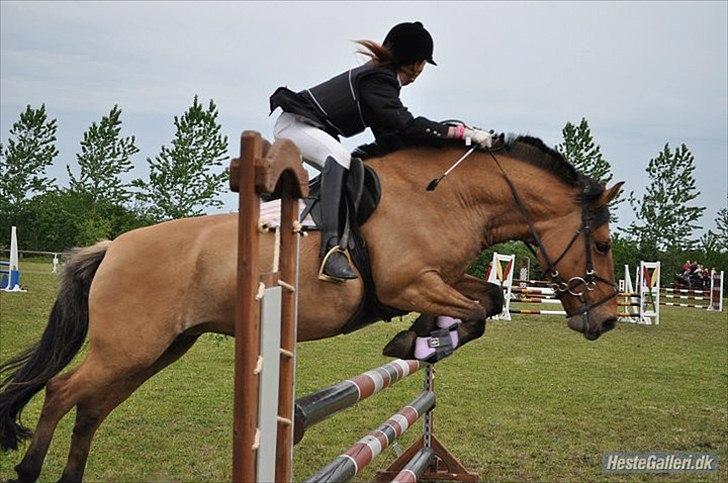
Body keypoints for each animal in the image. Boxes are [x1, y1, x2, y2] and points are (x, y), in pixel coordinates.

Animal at [1, 134, 624, 482]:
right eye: (601, 244)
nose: (607, 319)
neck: (450, 198)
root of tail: (112, 247)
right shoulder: (407, 283)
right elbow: (477, 309)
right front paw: (419, 339)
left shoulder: (439, 280)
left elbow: (487, 299)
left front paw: (422, 339)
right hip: (128, 347)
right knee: (60, 391)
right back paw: (29, 470)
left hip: (155, 351)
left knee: (90, 408)